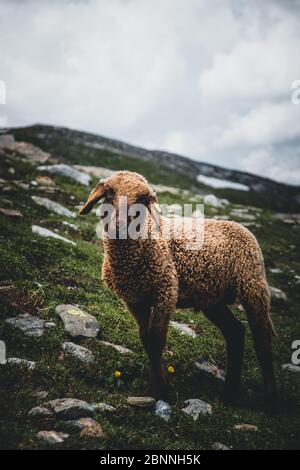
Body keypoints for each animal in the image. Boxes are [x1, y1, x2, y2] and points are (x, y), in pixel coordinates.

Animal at [78, 171, 278, 414]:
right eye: (109, 193)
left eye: (143, 199)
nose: (119, 225)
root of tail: (240, 227)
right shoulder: (134, 300)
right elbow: (145, 338)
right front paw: (155, 387)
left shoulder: (165, 290)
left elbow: (156, 339)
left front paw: (158, 391)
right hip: (212, 299)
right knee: (236, 332)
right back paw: (229, 394)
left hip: (252, 285)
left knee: (262, 339)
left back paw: (269, 400)